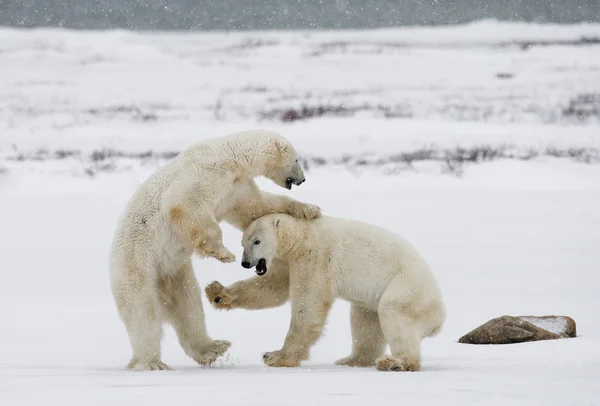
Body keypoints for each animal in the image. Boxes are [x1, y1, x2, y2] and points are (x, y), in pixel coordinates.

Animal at [109, 130, 322, 372]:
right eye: (296, 160)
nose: (302, 179)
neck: (230, 158)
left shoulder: (236, 188)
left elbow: (256, 207)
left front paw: (309, 209)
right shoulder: (205, 173)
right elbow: (185, 203)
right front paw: (223, 253)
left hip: (174, 271)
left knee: (187, 304)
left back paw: (212, 348)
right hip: (137, 262)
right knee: (143, 310)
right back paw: (151, 363)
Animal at [206, 214, 446, 372]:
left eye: (256, 241)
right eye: (242, 242)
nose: (246, 263)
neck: (301, 234)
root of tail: (439, 319)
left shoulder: (314, 256)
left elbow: (308, 304)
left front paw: (276, 356)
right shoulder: (287, 260)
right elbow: (273, 288)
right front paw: (216, 293)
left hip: (406, 289)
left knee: (394, 314)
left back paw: (395, 363)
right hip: (373, 299)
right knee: (364, 320)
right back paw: (352, 360)